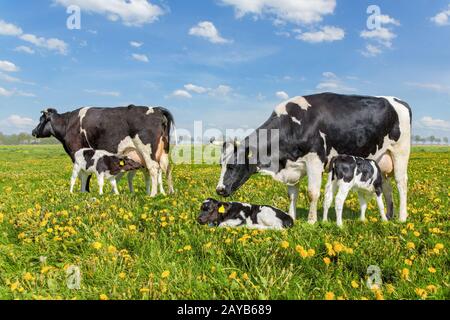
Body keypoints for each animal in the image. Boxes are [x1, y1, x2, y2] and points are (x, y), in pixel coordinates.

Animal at [31, 105, 176, 196]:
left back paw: (153, 194)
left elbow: (83, 174)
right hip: (163, 150)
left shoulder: (77, 152)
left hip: (147, 150)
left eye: (41, 120)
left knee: (154, 169)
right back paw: (169, 192)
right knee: (167, 168)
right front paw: (86, 191)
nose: (33, 131)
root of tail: (157, 109)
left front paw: (84, 191)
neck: (68, 124)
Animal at [217, 92, 412, 222]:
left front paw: (312, 220)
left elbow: (312, 193)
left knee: (401, 183)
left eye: (233, 165)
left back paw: (402, 217)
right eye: (221, 164)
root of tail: (398, 100)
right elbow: (292, 195)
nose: (219, 190)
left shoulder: (315, 160)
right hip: (381, 160)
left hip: (400, 152)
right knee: (386, 186)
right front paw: (292, 216)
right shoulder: (292, 165)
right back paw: (388, 216)